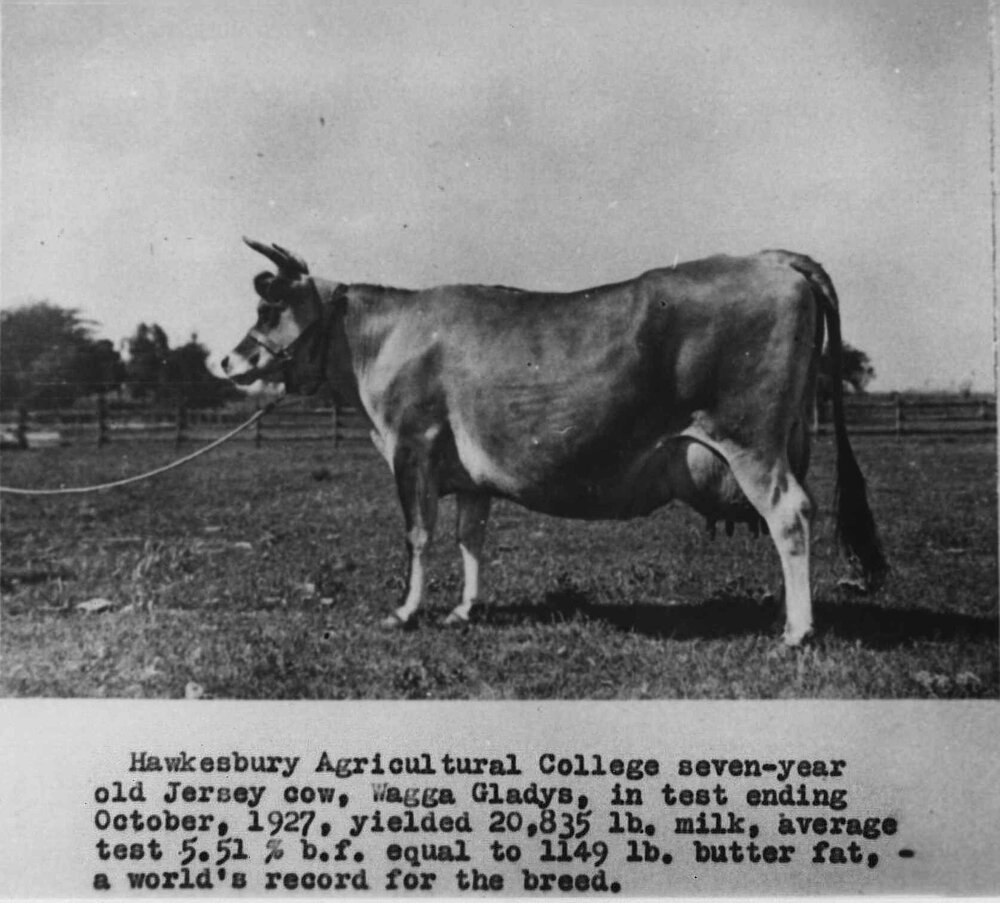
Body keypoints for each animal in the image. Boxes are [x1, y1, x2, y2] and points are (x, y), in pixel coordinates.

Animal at [222, 238, 886, 645]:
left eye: (268, 307)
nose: (228, 360)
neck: (385, 336)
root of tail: (771, 259)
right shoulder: (468, 474)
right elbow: (470, 538)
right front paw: (463, 609)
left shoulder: (411, 446)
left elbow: (418, 534)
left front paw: (405, 611)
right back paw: (785, 616)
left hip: (752, 441)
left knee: (790, 515)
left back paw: (797, 631)